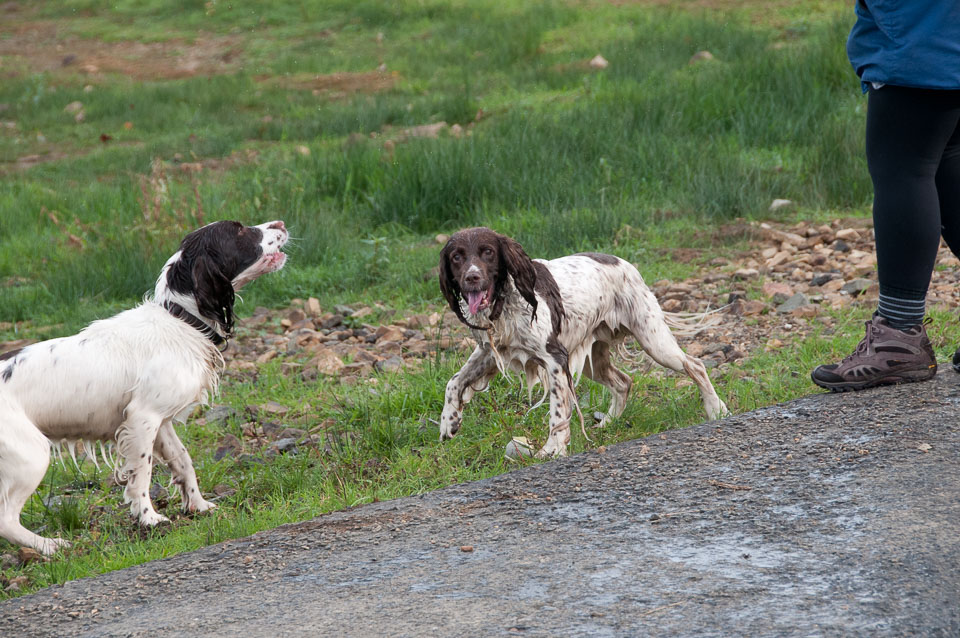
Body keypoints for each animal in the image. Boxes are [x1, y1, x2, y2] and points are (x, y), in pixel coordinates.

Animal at [0, 220, 288, 556]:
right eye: (239, 231)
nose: (280, 224)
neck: (181, 320)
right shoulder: (142, 417)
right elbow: (142, 473)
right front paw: (149, 518)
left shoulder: (160, 421)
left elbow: (183, 461)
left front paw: (198, 504)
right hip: (32, 455)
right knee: (6, 519)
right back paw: (49, 546)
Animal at [438, 228, 724, 458]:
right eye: (456, 257)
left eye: (487, 252)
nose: (472, 278)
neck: (504, 302)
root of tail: (625, 264)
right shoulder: (489, 352)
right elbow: (454, 382)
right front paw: (449, 422)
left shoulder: (555, 358)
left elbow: (557, 411)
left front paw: (552, 448)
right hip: (593, 361)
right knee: (624, 382)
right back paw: (608, 423)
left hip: (654, 341)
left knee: (695, 366)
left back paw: (716, 409)